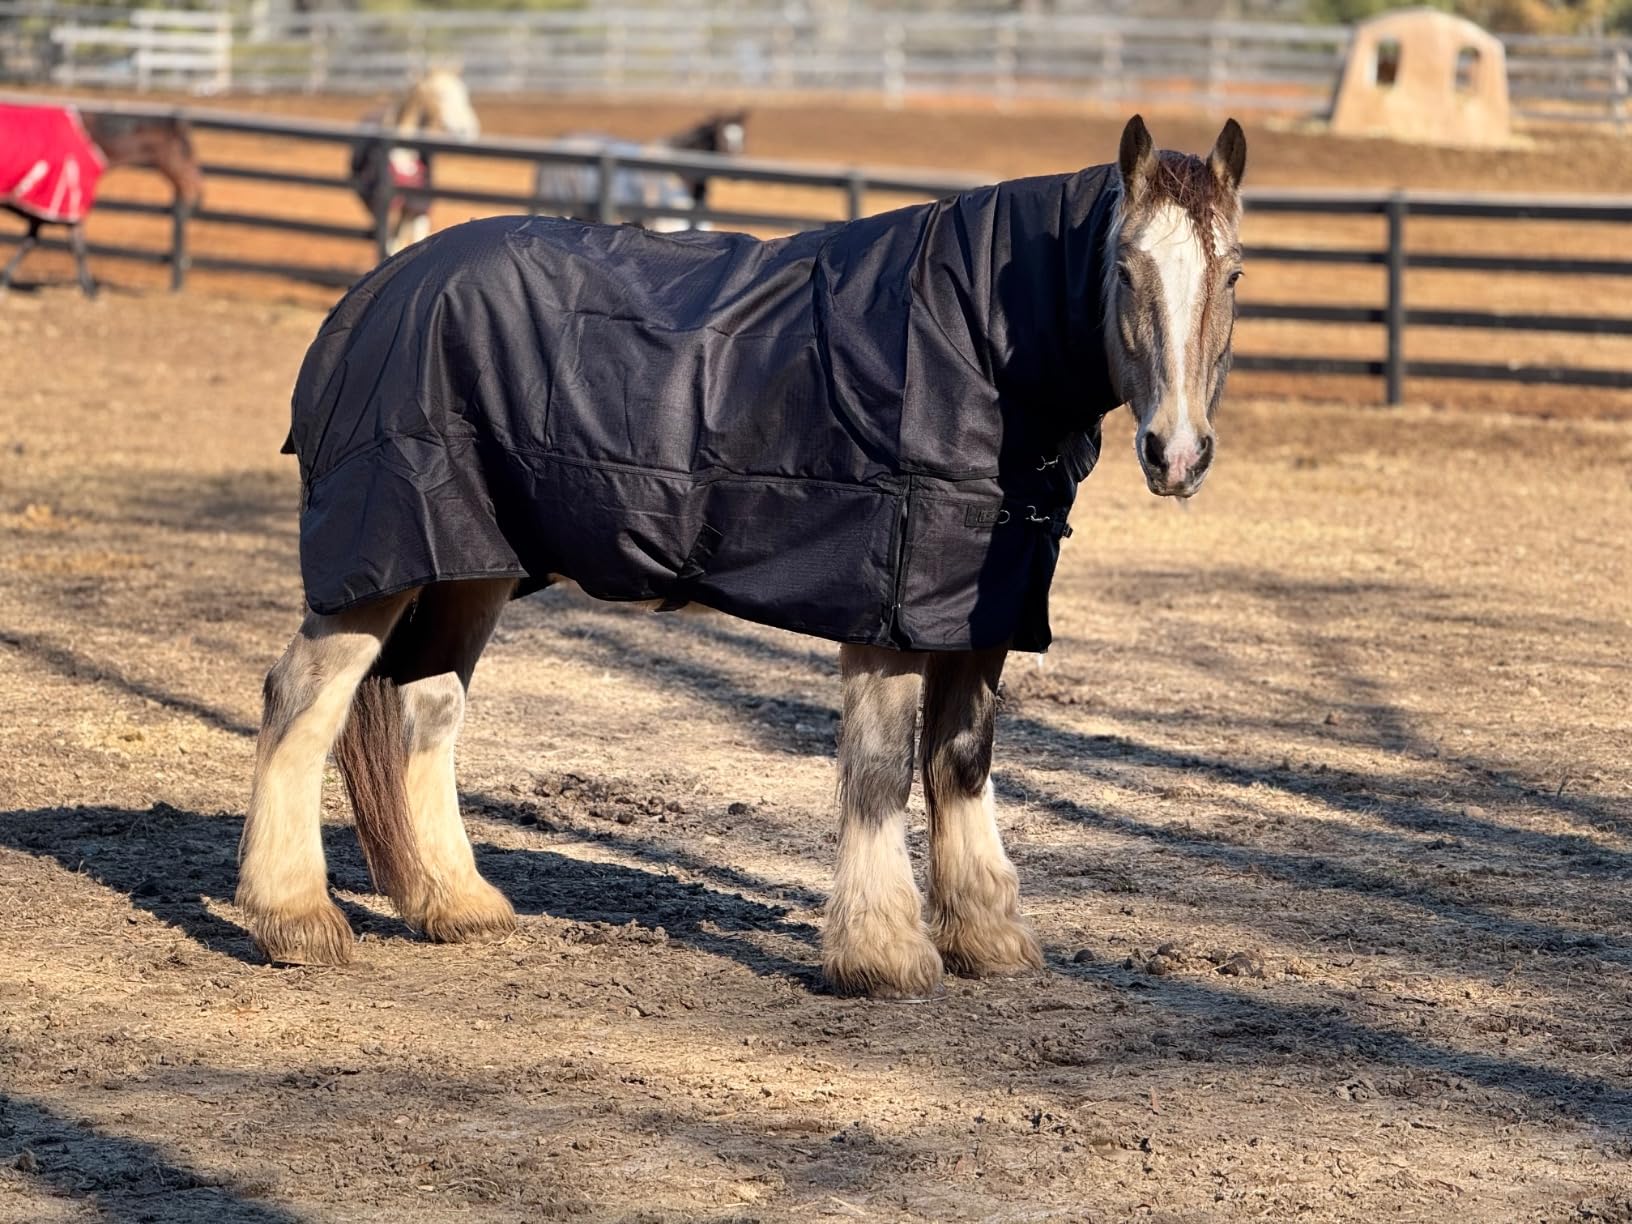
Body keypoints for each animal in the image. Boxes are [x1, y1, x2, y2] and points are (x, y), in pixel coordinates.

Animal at [0, 107, 202, 297]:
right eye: (184, 151)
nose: (196, 190)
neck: (92, 140)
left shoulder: (49, 210)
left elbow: (32, 243)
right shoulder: (64, 204)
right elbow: (77, 248)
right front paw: (91, 291)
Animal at [349, 68, 480, 256]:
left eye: (464, 93)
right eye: (439, 95)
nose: (469, 129)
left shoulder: (417, 206)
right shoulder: (385, 207)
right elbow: (390, 243)